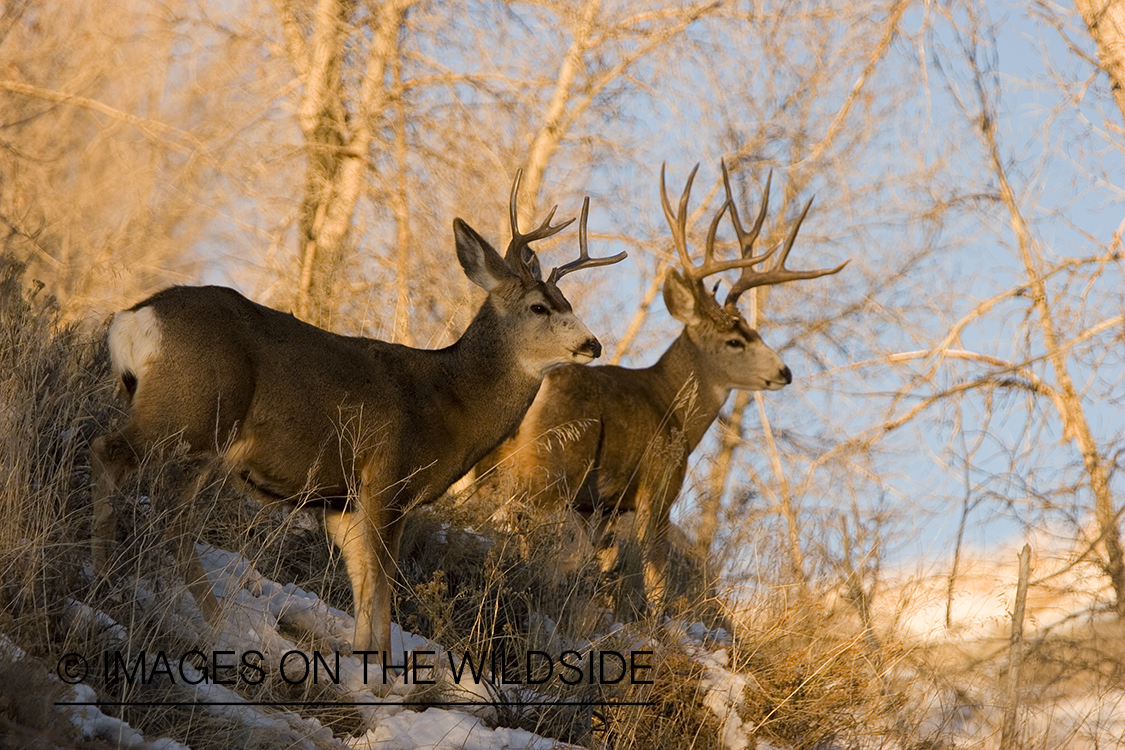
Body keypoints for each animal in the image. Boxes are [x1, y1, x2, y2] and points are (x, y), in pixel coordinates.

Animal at [89, 172, 626, 658]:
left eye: (567, 302)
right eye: (540, 307)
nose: (593, 344)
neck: (451, 401)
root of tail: (136, 317)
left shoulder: (341, 502)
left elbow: (364, 587)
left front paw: (364, 665)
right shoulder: (387, 480)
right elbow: (384, 587)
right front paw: (381, 679)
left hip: (194, 429)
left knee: (165, 508)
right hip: (194, 413)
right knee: (122, 464)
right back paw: (122, 581)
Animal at [476, 161, 847, 617]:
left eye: (755, 332)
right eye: (735, 341)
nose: (785, 372)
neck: (672, 406)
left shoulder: (600, 506)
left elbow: (609, 564)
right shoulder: (659, 485)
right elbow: (652, 578)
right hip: (551, 466)